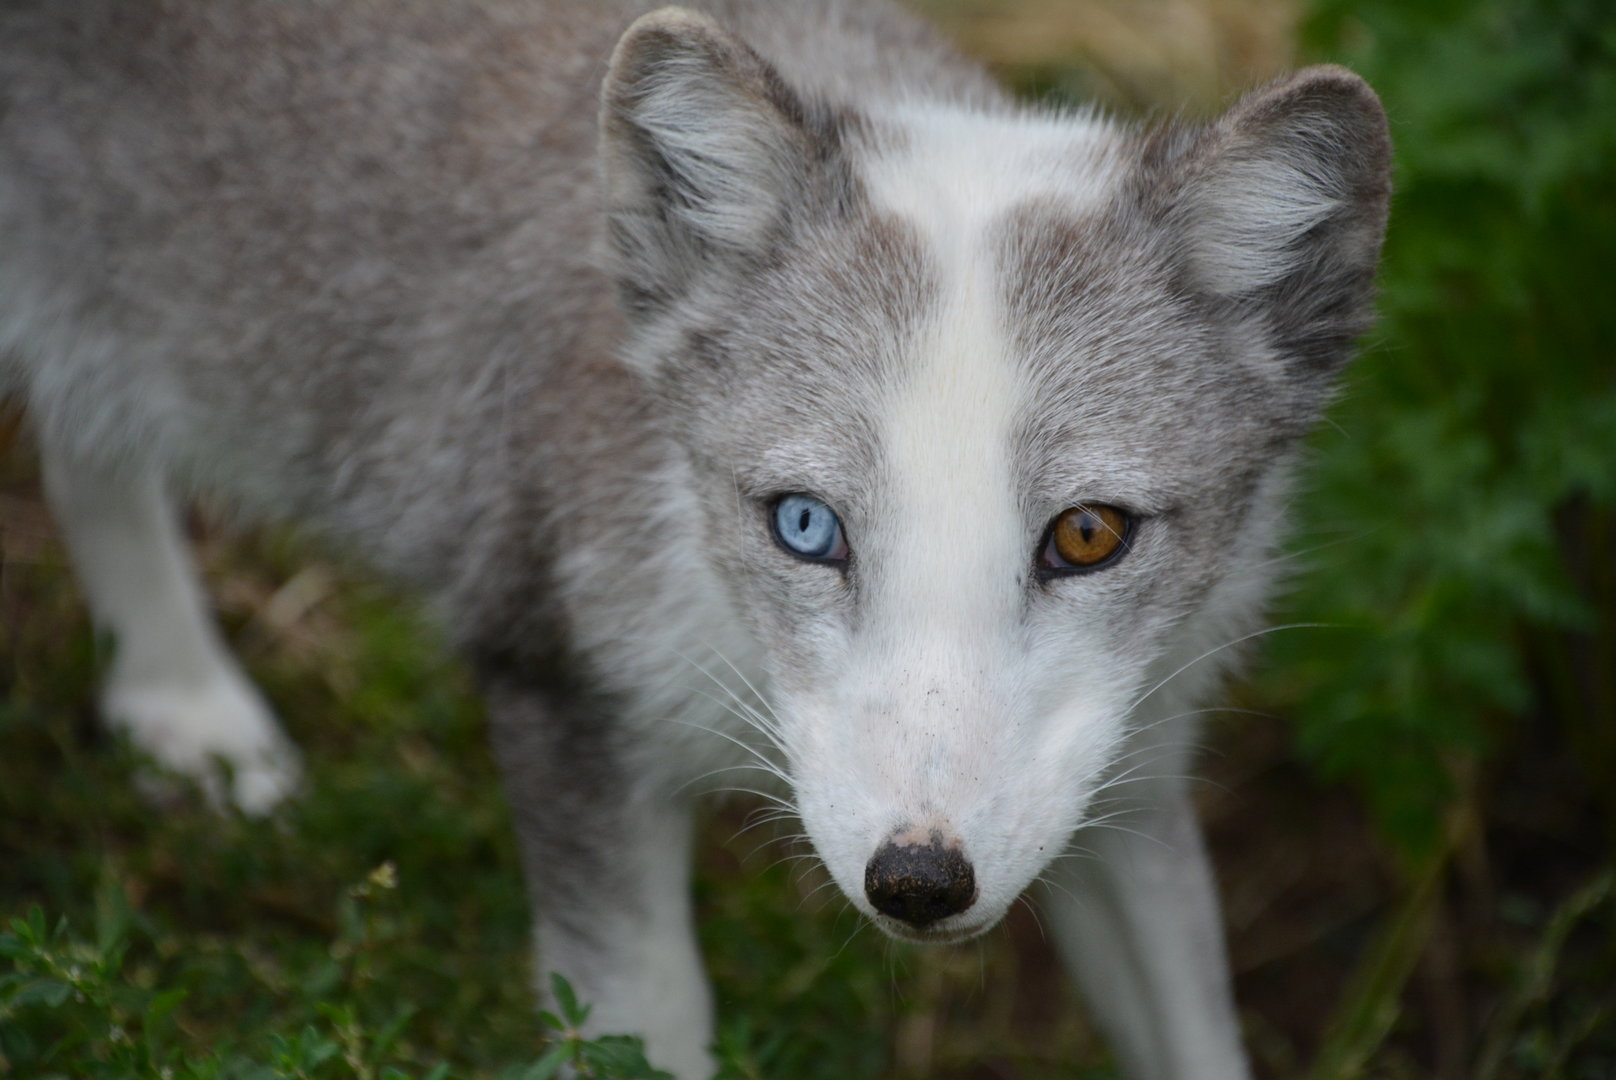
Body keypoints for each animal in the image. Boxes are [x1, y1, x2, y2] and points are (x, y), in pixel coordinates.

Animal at [0, 0, 1390, 1076]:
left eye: (1087, 535)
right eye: (804, 525)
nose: (916, 882)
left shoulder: (1133, 786)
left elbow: (1198, 1037)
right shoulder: (562, 700)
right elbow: (651, 1023)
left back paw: (179, 707)